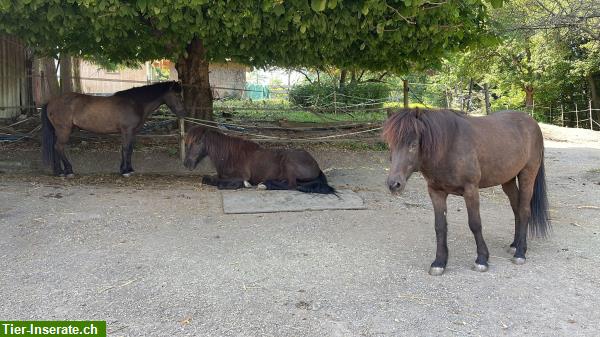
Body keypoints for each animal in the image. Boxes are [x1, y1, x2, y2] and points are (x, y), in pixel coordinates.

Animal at [41, 80, 185, 177]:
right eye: (177, 95)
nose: (183, 112)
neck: (134, 103)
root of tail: (51, 101)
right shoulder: (127, 130)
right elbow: (126, 149)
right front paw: (126, 171)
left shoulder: (131, 132)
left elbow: (128, 149)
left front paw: (127, 169)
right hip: (63, 130)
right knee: (59, 147)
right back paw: (69, 171)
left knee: (55, 148)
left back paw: (59, 172)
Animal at [182, 125, 338, 194]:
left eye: (197, 142)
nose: (186, 164)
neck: (229, 155)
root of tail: (315, 165)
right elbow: (207, 179)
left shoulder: (240, 176)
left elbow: (222, 183)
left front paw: (245, 184)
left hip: (289, 164)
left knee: (291, 185)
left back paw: (265, 185)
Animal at [384, 109, 548, 274]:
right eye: (390, 144)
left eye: (413, 144)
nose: (394, 184)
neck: (449, 146)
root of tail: (531, 121)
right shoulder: (436, 192)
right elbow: (440, 227)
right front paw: (439, 263)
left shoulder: (470, 190)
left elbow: (475, 224)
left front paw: (481, 259)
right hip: (508, 180)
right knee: (516, 209)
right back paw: (515, 244)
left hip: (528, 174)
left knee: (524, 210)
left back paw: (520, 252)